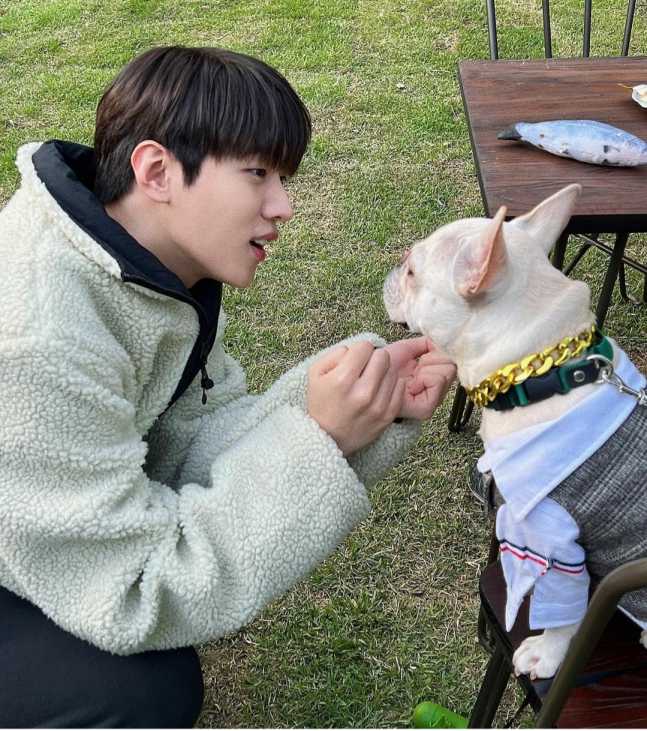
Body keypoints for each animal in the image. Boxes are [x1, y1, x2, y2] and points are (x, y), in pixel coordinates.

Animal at [383, 183, 647, 679]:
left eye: (412, 271)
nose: (392, 268)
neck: (540, 373)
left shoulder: (555, 543)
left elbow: (565, 614)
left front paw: (548, 653)